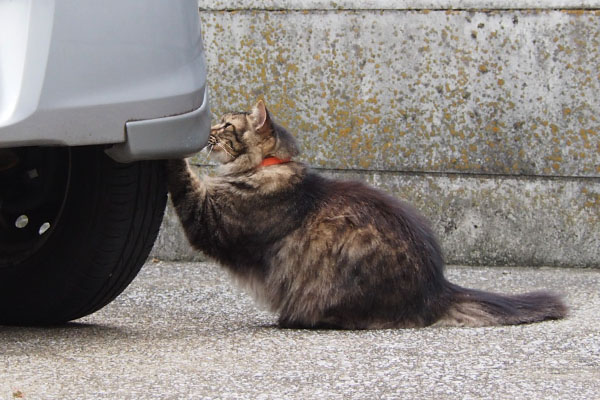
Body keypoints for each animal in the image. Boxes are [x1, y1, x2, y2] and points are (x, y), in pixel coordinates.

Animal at [165, 100, 568, 328]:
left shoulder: (214, 221)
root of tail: (438, 287)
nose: (206, 131)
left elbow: (186, 181)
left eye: (226, 126)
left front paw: (172, 152)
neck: (266, 166)